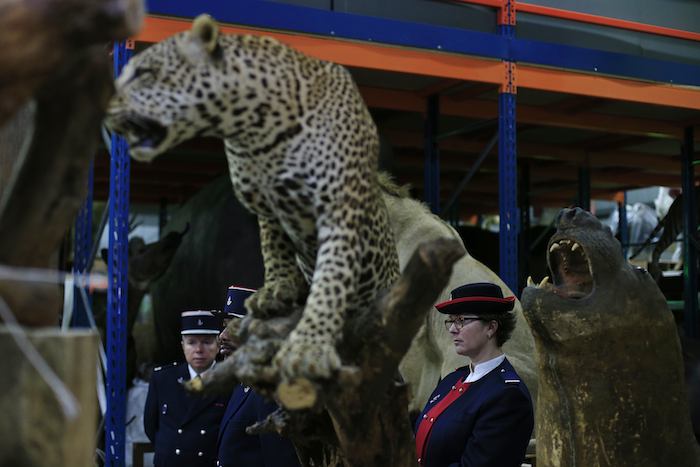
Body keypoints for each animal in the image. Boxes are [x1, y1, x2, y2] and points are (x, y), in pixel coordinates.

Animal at [104, 14, 400, 382]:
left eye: (144, 73)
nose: (105, 106)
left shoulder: (339, 209)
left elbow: (331, 280)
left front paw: (309, 347)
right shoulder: (268, 205)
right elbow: (275, 250)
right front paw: (276, 291)